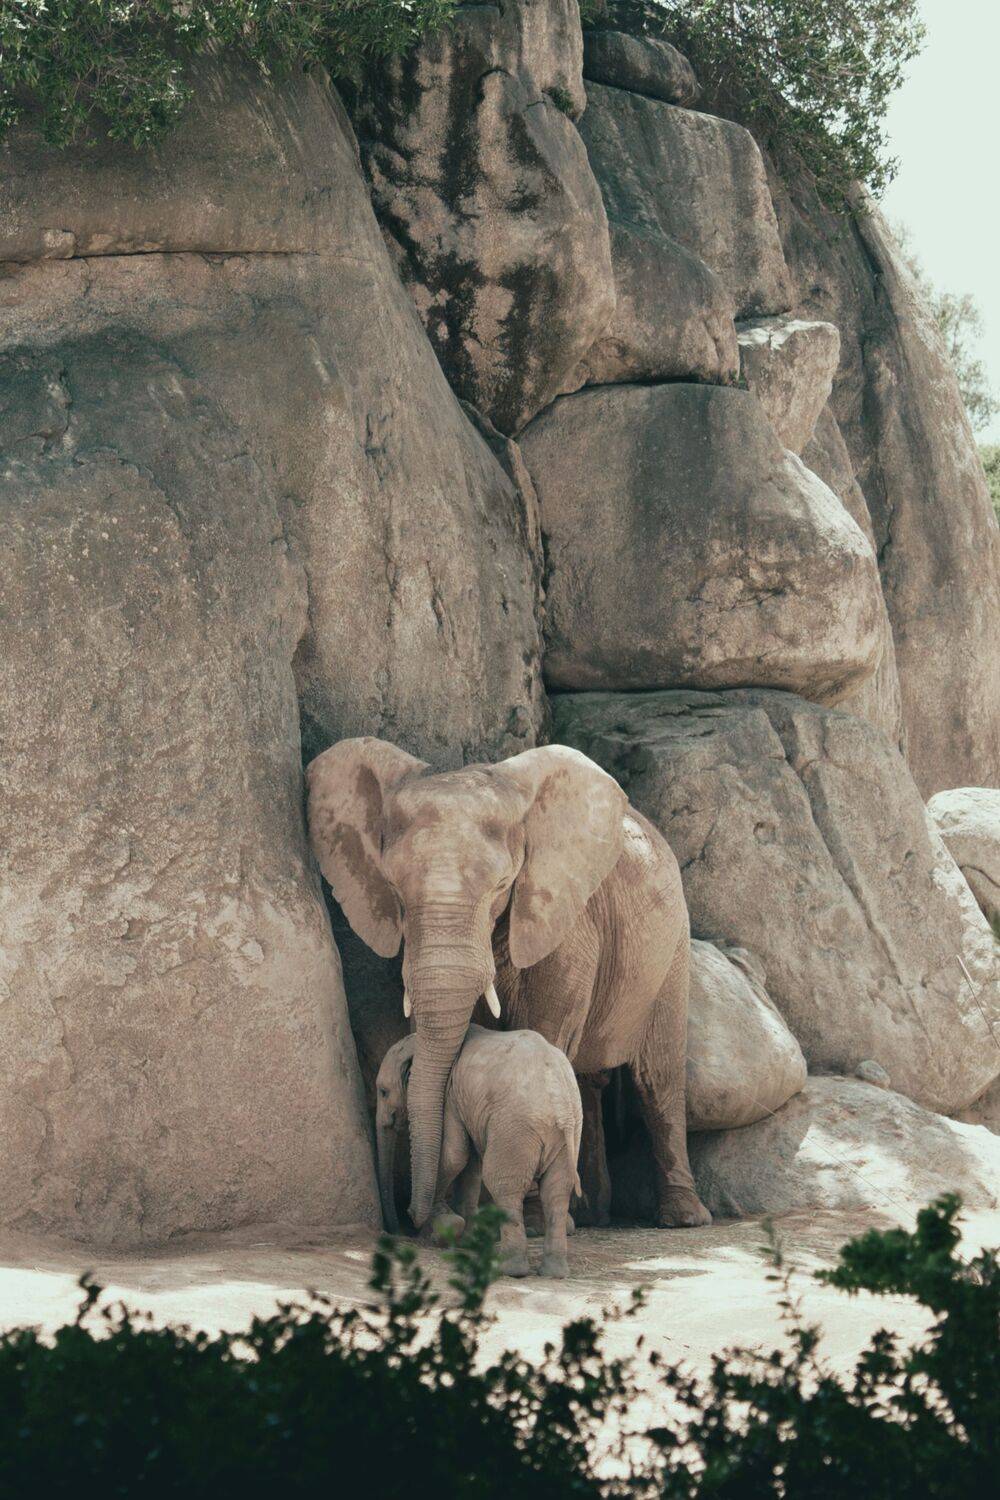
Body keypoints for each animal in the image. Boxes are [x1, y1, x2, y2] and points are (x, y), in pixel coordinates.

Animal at [306, 736, 711, 1233]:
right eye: (396, 892)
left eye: (501, 886)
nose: (412, 1220)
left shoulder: (566, 922)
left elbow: (545, 1029)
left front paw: (532, 1222)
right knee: (589, 1079)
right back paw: (589, 1214)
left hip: (671, 950)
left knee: (659, 1076)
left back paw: (682, 1217)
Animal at [375, 1025, 582, 1277]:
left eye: (383, 1092)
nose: (402, 1223)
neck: (419, 1046)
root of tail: (561, 1107)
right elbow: (470, 1165)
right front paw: (465, 1240)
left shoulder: (450, 1097)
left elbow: (453, 1155)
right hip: (567, 1135)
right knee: (556, 1191)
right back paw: (554, 1272)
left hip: (515, 1129)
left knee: (504, 1185)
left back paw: (510, 1269)